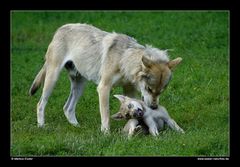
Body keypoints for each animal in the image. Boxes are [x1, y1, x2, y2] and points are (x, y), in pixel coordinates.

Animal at [28, 23, 182, 133]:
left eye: (161, 91)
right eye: (149, 89)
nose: (154, 107)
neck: (124, 59)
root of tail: (60, 29)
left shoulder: (130, 90)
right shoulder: (103, 88)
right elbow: (106, 114)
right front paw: (106, 134)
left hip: (80, 85)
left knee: (67, 108)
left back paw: (77, 127)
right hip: (52, 79)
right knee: (40, 104)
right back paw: (42, 126)